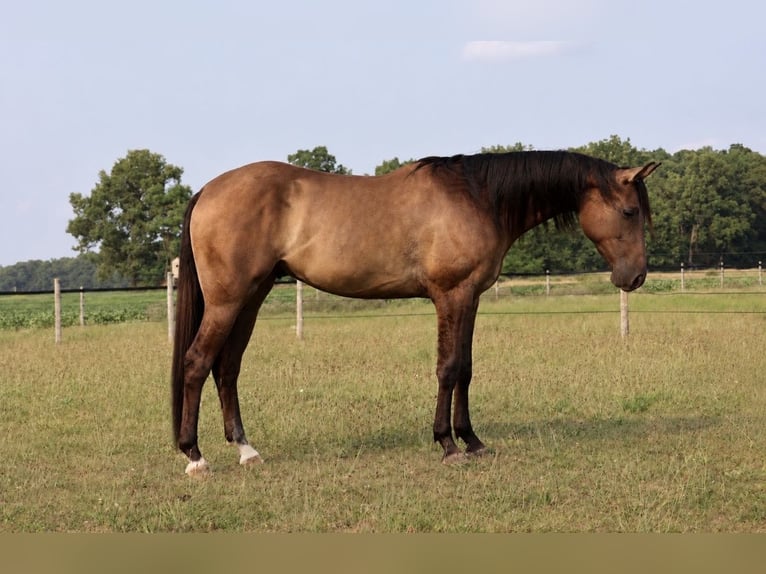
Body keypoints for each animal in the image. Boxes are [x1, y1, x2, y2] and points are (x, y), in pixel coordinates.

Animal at [171, 150, 659, 476]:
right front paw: (447, 443)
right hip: (228, 301)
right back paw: (195, 456)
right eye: (629, 210)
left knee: (227, 369)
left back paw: (246, 450)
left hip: (251, 299)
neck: (478, 197)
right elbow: (448, 367)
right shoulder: (451, 295)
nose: (635, 277)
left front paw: (472, 440)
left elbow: (466, 368)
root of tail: (207, 190)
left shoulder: (471, 298)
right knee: (196, 363)